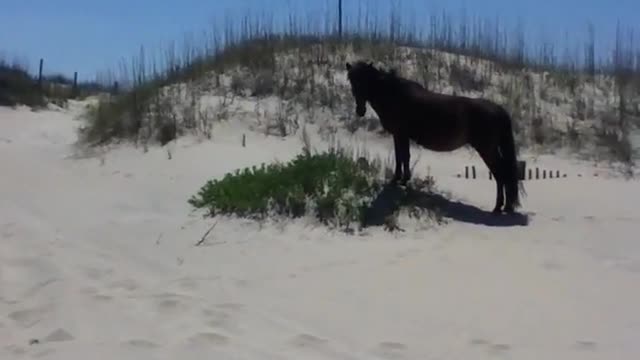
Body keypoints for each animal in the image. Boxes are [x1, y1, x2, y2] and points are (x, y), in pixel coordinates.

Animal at [344, 60, 524, 215]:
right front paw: (401, 179)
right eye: (351, 81)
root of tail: (499, 110)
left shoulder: (400, 134)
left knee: (501, 174)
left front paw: (399, 180)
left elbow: (403, 156)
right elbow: (402, 157)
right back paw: (505, 206)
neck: (394, 94)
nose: (360, 110)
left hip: (487, 150)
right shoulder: (400, 135)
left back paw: (498, 207)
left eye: (365, 81)